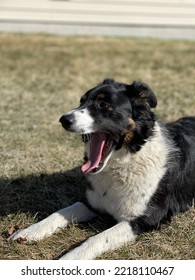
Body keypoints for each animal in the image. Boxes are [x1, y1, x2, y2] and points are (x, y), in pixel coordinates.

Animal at [9, 80, 195, 260]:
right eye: (81, 101)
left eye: (104, 105)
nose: (64, 119)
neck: (124, 162)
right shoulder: (91, 203)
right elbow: (61, 212)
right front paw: (29, 231)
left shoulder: (145, 219)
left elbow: (97, 238)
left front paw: (69, 258)